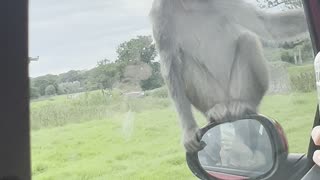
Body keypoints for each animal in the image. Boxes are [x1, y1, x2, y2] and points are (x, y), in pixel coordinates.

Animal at [149, 0, 308, 153]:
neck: (189, 3)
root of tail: (228, 103)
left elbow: (267, 24)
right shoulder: (160, 13)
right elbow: (171, 66)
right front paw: (189, 130)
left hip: (239, 89)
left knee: (248, 39)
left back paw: (246, 105)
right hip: (212, 95)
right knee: (183, 58)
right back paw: (215, 111)